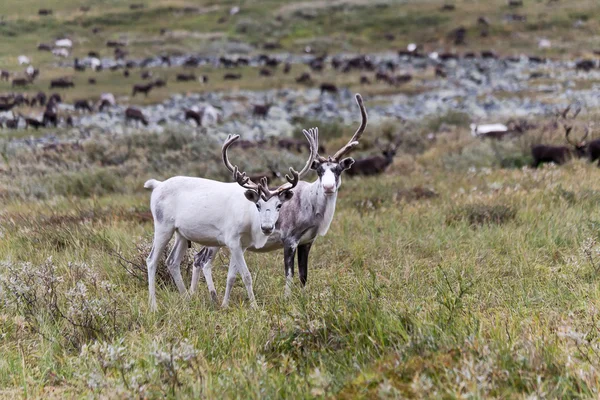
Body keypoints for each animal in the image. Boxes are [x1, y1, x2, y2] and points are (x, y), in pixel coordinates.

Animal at [146, 130, 316, 310]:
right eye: (257, 205)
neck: (250, 221)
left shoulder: (242, 245)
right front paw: (255, 307)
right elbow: (246, 275)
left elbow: (232, 276)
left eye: (279, 205)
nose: (267, 227)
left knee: (172, 261)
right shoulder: (232, 241)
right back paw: (153, 305)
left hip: (182, 234)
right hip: (163, 226)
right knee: (151, 260)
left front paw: (224, 305)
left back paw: (187, 300)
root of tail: (156, 185)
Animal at [195, 95, 368, 298]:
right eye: (318, 170)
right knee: (203, 261)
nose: (328, 187)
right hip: (215, 239)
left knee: (198, 259)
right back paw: (212, 296)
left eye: (338, 170)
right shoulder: (289, 240)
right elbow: (289, 274)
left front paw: (303, 298)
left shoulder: (307, 242)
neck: (311, 208)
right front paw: (287, 299)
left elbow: (303, 275)